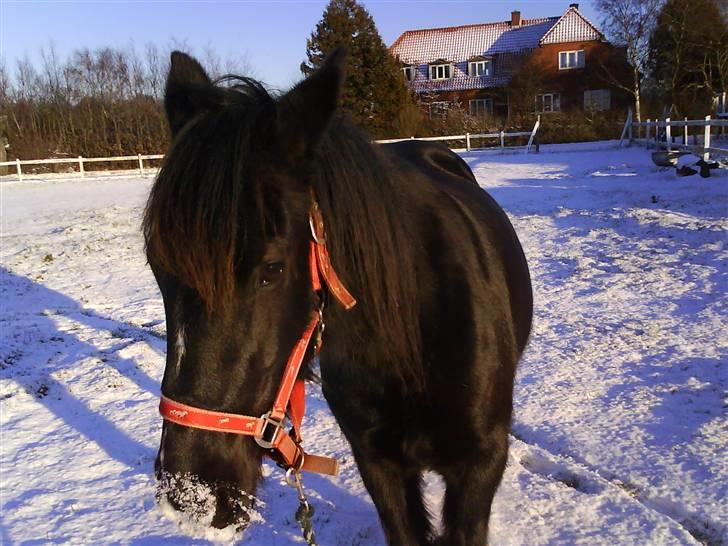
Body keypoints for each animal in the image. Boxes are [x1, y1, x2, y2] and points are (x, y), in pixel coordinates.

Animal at [143, 49, 532, 545]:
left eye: (272, 269)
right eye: (157, 267)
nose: (193, 496)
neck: (411, 343)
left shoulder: (477, 470)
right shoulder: (379, 465)